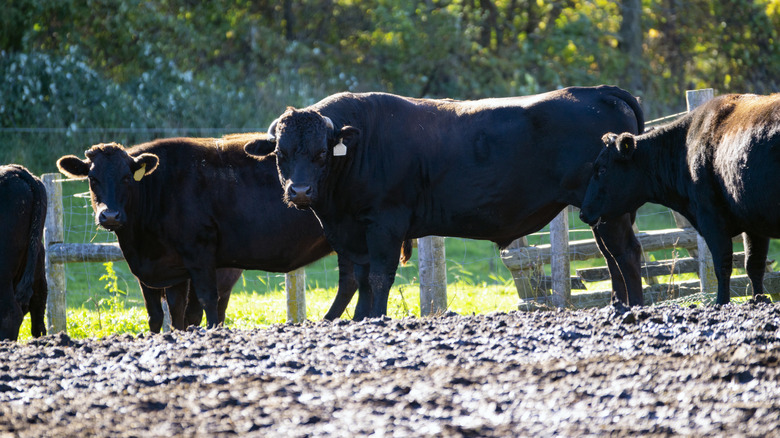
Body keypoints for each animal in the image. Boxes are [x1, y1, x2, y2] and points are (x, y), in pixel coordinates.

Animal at [56, 133, 393, 328]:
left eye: (127, 177)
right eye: (92, 179)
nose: (110, 215)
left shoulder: (199, 253)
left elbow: (206, 302)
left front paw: (210, 331)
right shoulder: (163, 269)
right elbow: (165, 313)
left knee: (356, 278)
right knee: (351, 279)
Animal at [245, 86, 645, 318]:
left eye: (320, 154)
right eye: (281, 154)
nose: (299, 192)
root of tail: (597, 91)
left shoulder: (385, 224)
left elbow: (378, 276)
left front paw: (375, 318)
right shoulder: (353, 232)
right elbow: (358, 278)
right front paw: (358, 319)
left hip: (612, 210)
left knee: (625, 253)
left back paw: (634, 308)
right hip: (602, 211)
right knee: (611, 256)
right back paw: (618, 305)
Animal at [579, 93, 780, 305]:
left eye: (602, 169)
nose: (583, 212)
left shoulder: (711, 219)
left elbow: (722, 265)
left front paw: (721, 302)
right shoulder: (753, 223)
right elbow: (754, 265)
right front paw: (759, 300)